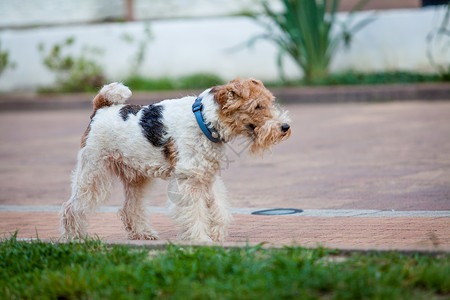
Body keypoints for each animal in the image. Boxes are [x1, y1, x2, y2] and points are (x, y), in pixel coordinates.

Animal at [59, 77, 292, 241]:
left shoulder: (206, 176)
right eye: (257, 106)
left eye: (270, 102)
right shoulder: (189, 180)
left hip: (137, 177)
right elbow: (195, 212)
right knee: (71, 207)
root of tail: (101, 108)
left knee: (130, 209)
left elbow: (218, 207)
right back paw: (75, 237)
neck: (204, 120)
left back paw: (143, 234)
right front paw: (201, 239)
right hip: (94, 173)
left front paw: (216, 235)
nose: (285, 127)